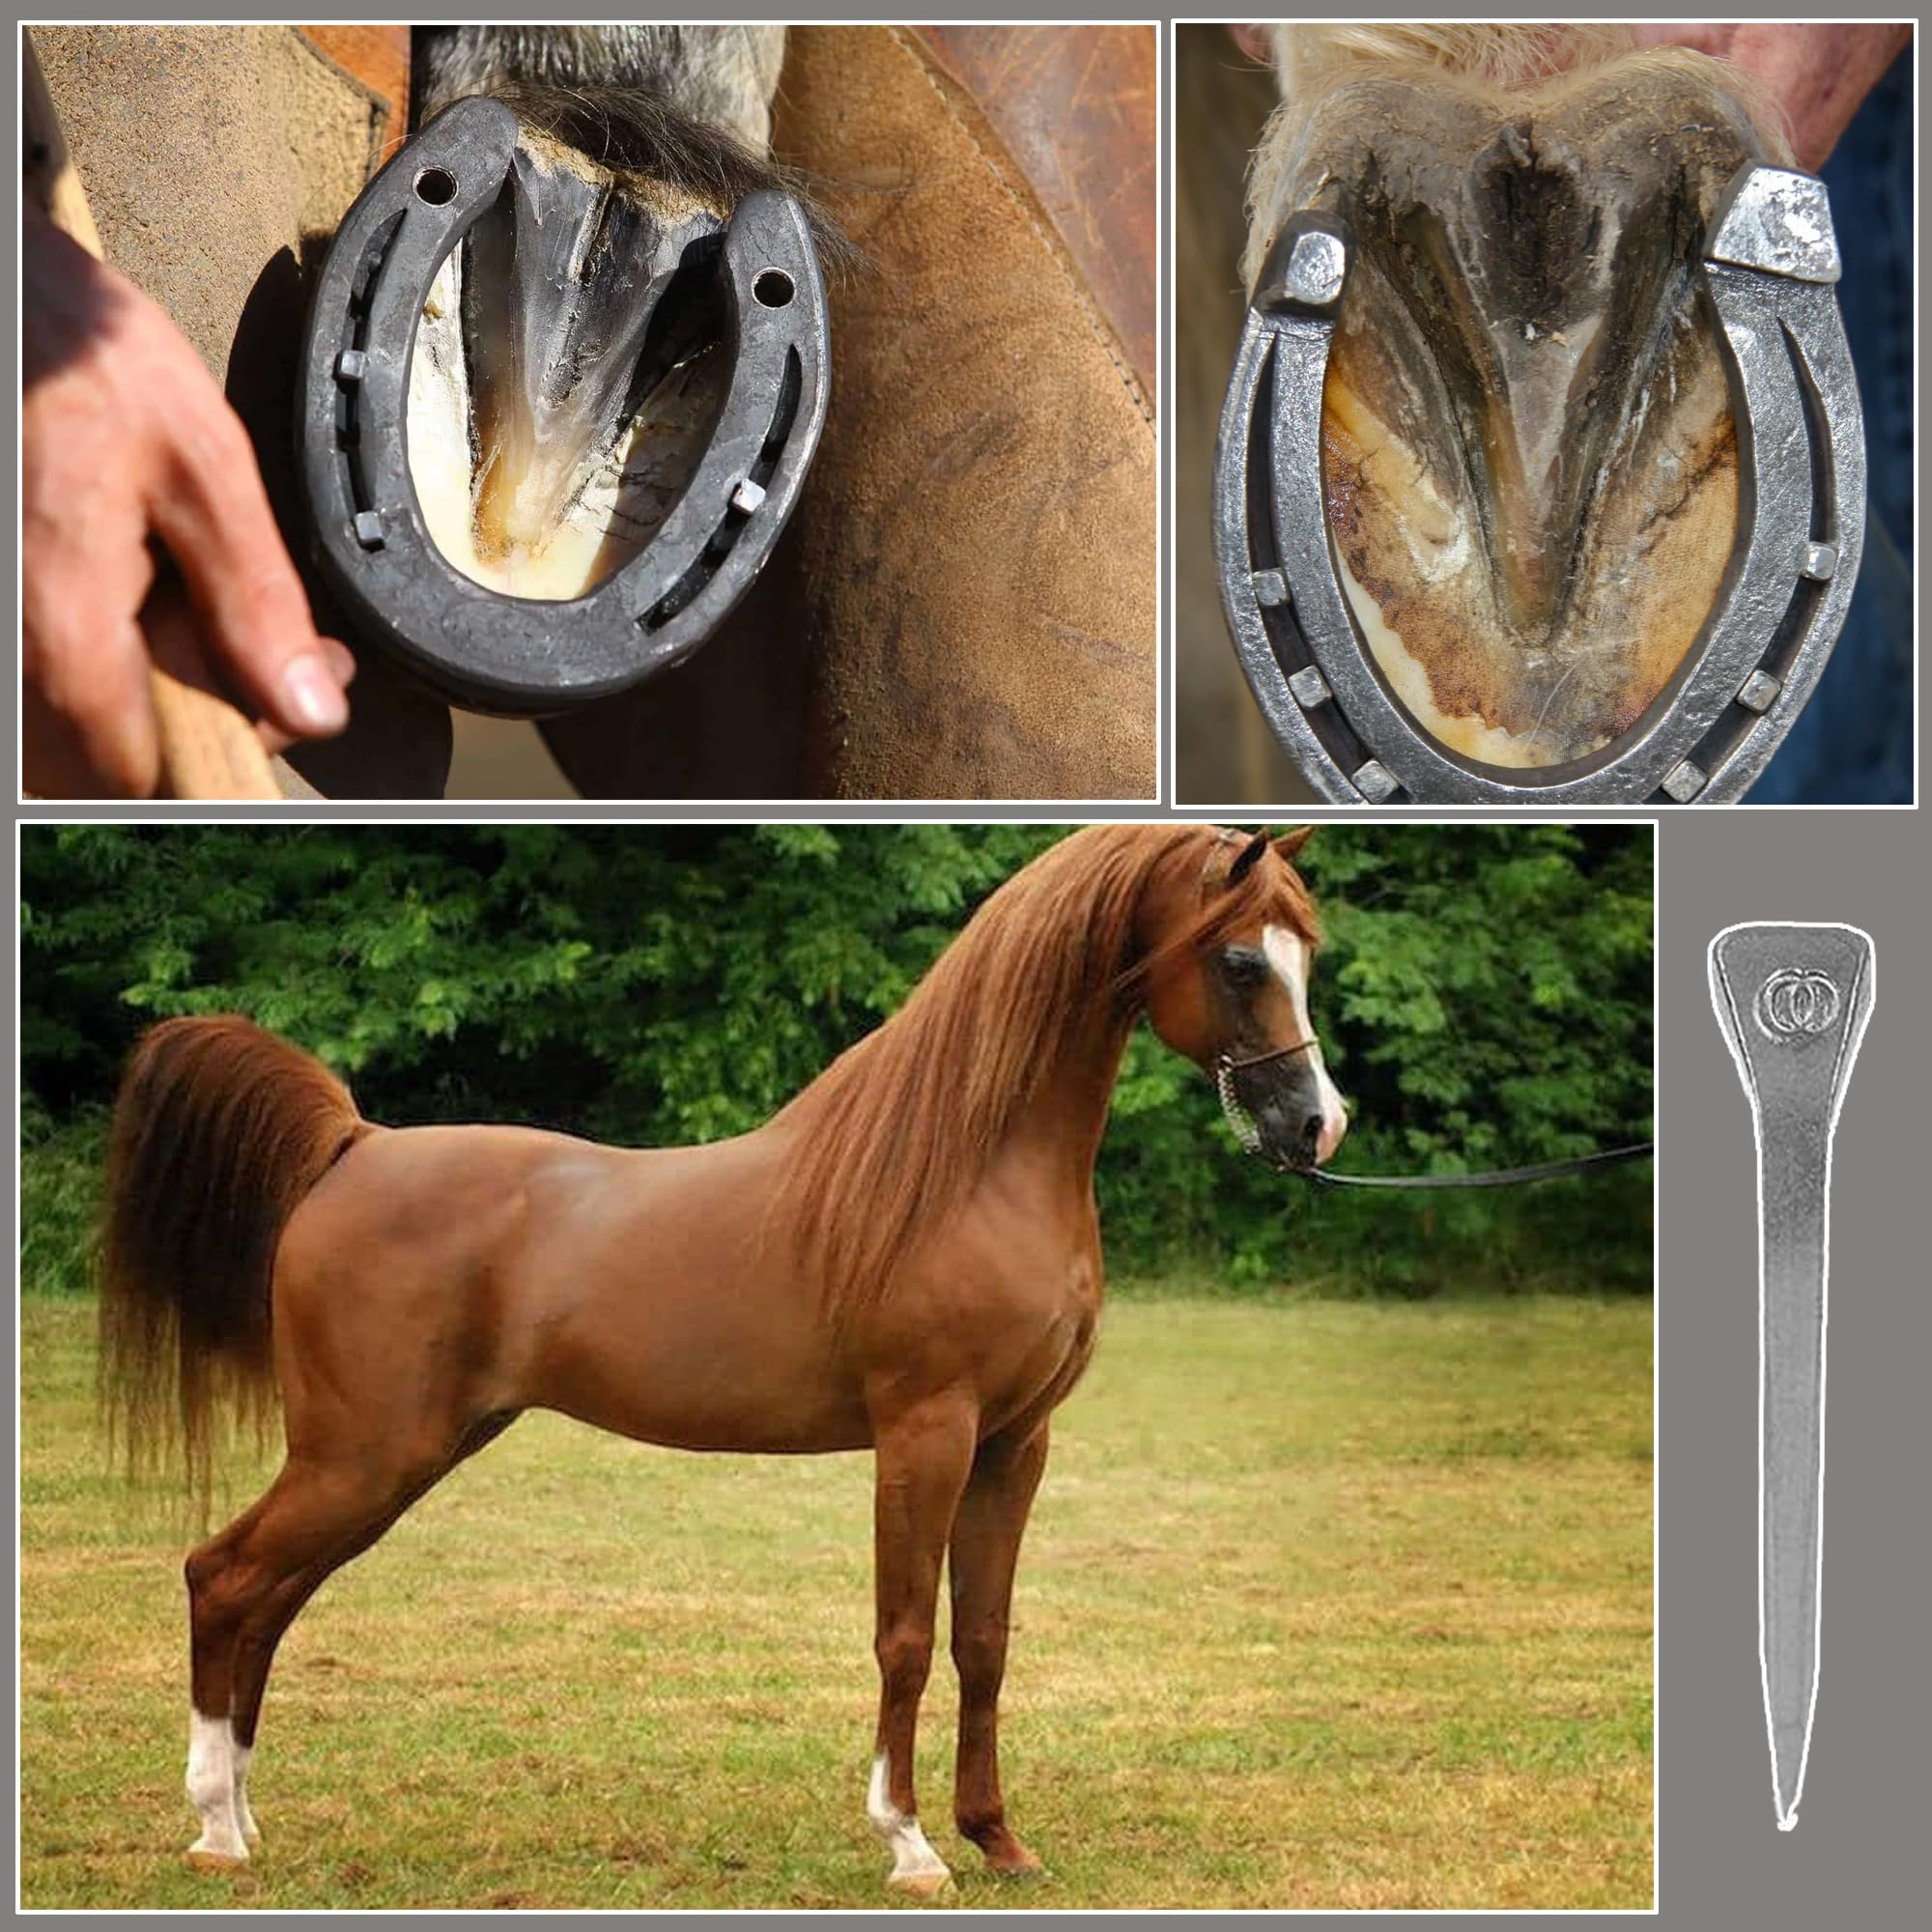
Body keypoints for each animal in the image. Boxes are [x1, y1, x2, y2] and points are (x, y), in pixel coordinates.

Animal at [98, 822, 1348, 1896]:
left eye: (1309, 951)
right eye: (1240, 957)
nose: (1314, 1127)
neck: (966, 1166)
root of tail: (349, 1146)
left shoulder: (1012, 1441)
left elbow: (981, 1640)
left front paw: (997, 1837)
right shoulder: (924, 1433)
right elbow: (904, 1636)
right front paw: (909, 1844)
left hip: (396, 1457)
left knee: (270, 1596)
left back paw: (242, 1815)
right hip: (363, 1453)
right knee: (224, 1575)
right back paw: (215, 1829)